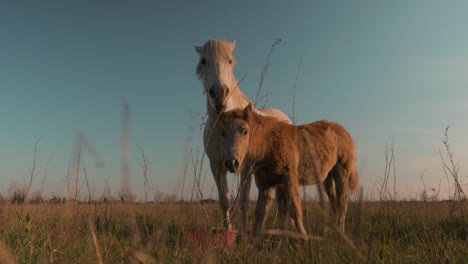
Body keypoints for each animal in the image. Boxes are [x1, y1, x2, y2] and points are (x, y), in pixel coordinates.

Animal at [193, 38, 288, 231]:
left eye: (230, 60)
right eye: (204, 61)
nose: (219, 94)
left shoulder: (246, 166)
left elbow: (244, 201)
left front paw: (244, 232)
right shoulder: (216, 166)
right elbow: (224, 201)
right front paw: (227, 230)